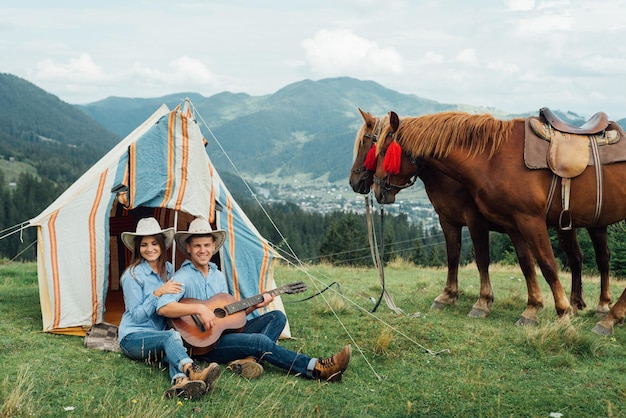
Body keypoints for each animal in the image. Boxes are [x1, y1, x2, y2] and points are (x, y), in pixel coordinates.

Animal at [368, 110, 620, 334]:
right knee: (586, 258)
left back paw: (605, 314)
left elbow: (542, 264)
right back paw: (595, 308)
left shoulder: (519, 220)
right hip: (582, 224)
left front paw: (560, 313)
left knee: (596, 259)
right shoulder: (507, 222)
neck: (493, 159)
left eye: (383, 151)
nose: (377, 190)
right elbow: (524, 263)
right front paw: (532, 309)